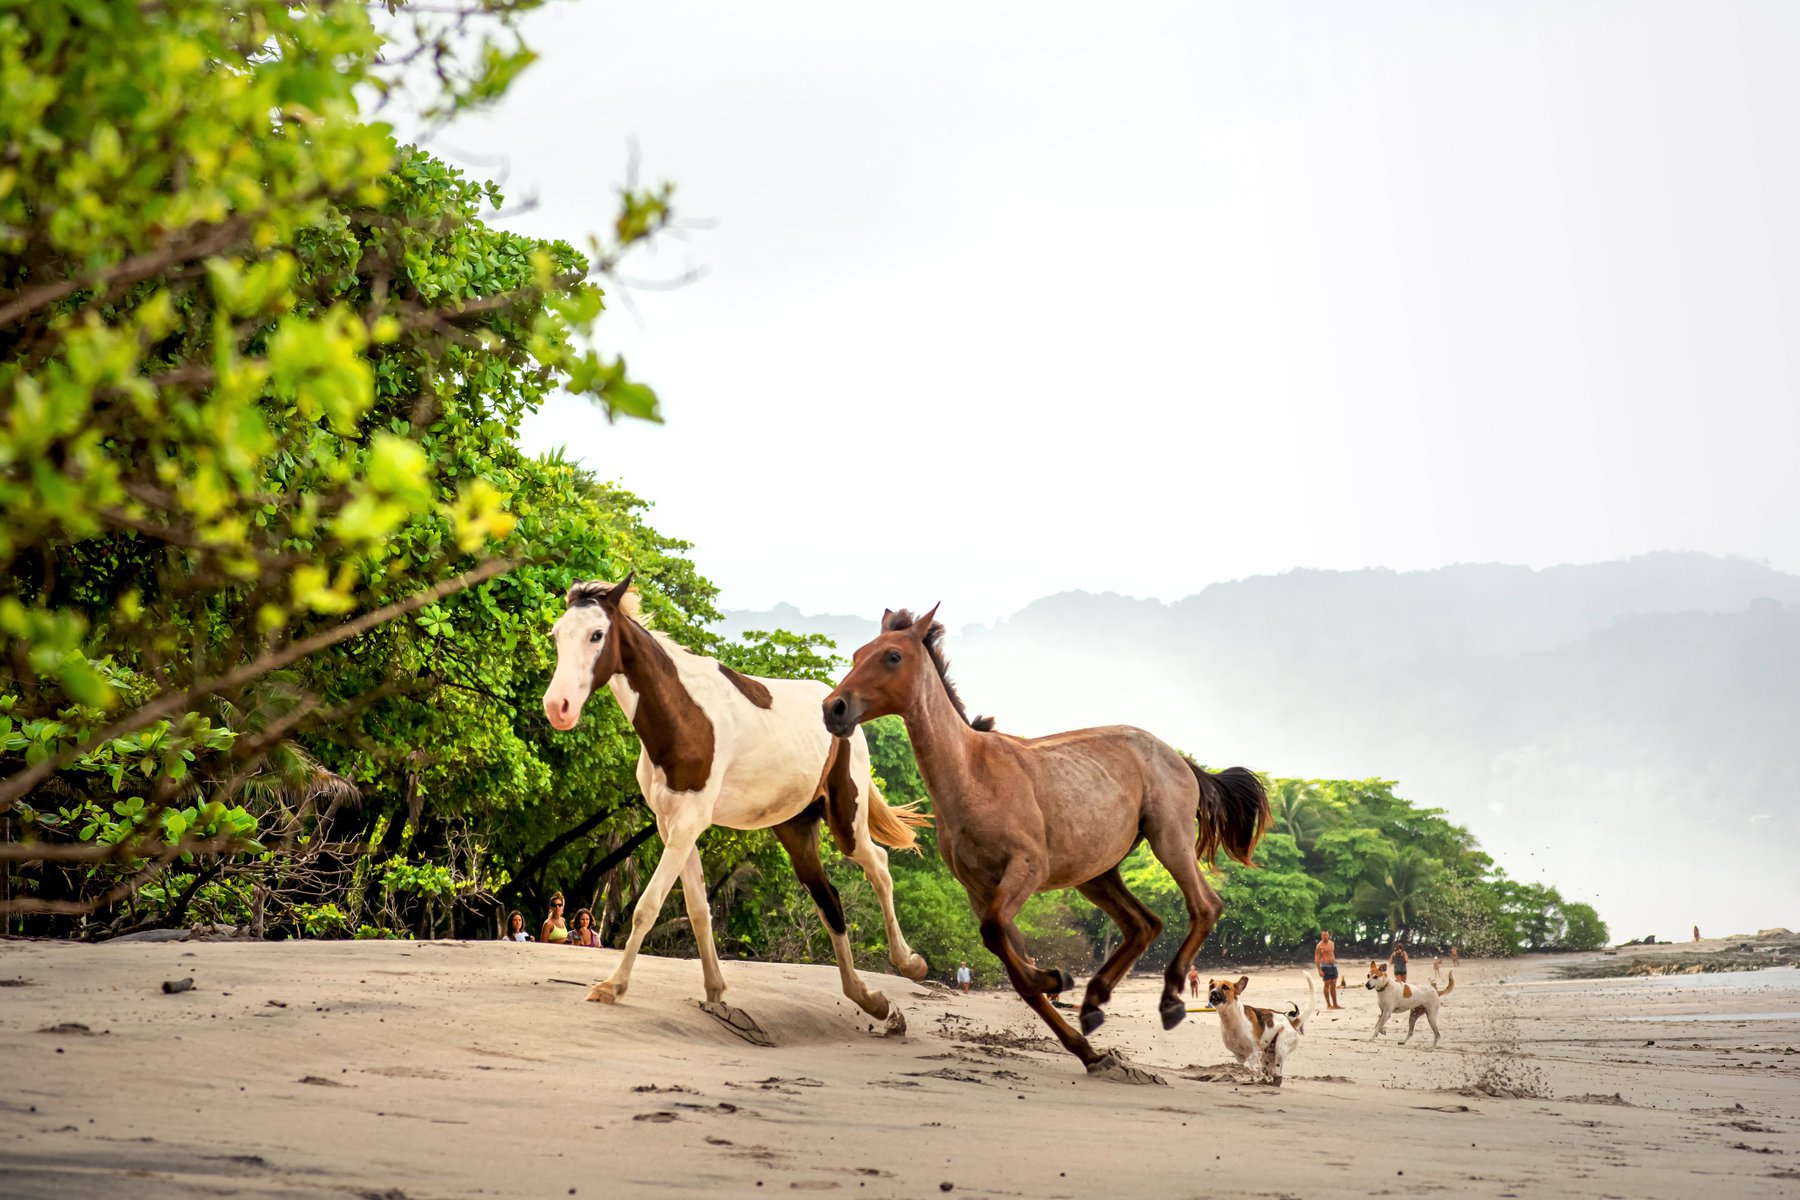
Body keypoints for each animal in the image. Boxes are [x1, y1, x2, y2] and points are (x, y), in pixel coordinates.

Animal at [536, 575, 928, 1029]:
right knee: (829, 899)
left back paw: (909, 964)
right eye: (556, 635)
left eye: (597, 634)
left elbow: (647, 907)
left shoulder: (688, 822)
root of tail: (843, 711)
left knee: (878, 866)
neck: (683, 715)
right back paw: (870, 999)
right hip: (795, 829)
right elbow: (697, 910)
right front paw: (715, 990)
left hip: (846, 819)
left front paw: (611, 987)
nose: (558, 708)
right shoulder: (672, 824)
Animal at [824, 611, 1274, 1079]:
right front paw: (1083, 1041)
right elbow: (1011, 965)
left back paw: (1168, 1002)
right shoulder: (978, 889)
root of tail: (1181, 760)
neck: (974, 775)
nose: (833, 708)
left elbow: (1001, 945)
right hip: (1095, 874)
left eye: (892, 656)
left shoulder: (1026, 868)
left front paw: (1058, 981)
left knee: (1204, 905)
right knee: (1143, 923)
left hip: (1168, 840)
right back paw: (1093, 1004)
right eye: (857, 653)